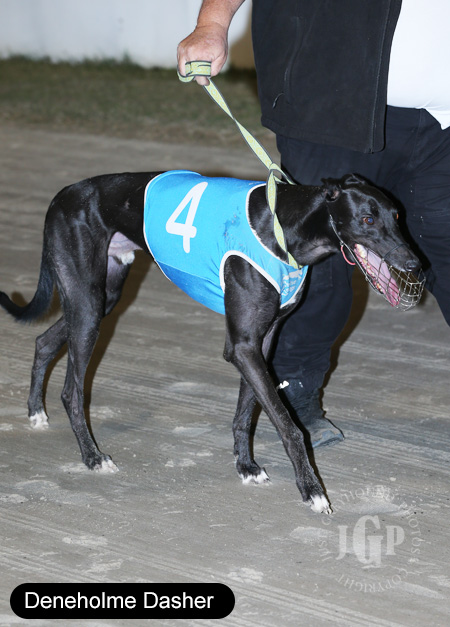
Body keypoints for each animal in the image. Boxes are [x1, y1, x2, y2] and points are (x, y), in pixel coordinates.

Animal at [0, 171, 421, 515]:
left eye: (397, 216)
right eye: (367, 219)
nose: (416, 266)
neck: (284, 227)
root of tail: (63, 195)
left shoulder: (260, 341)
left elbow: (246, 412)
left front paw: (245, 466)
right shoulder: (243, 346)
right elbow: (289, 426)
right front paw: (311, 490)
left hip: (102, 299)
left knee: (43, 340)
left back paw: (36, 411)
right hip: (88, 305)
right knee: (72, 391)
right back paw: (91, 456)